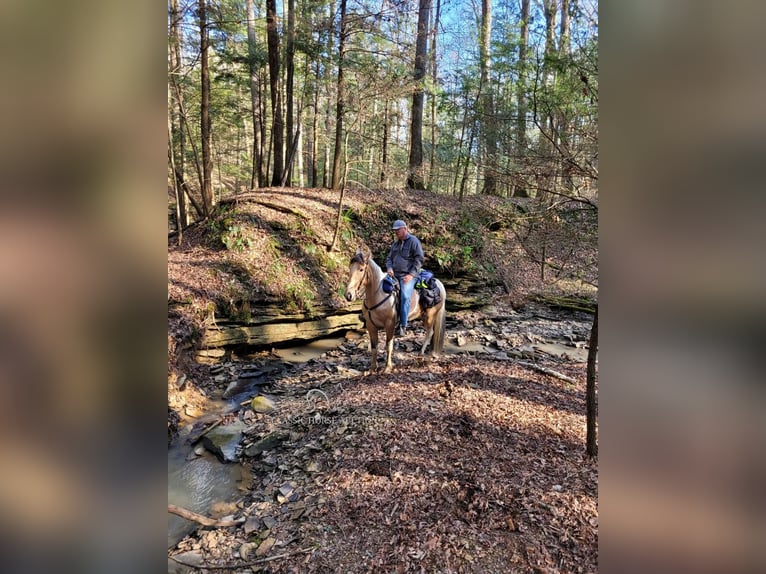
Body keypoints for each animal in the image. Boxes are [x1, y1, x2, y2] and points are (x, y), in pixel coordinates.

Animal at [344, 246, 448, 374]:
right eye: (350, 268)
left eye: (361, 269)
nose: (348, 295)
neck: (378, 294)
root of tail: (440, 284)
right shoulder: (370, 325)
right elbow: (374, 347)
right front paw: (372, 368)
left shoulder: (389, 324)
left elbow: (389, 346)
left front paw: (387, 367)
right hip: (424, 315)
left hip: (430, 316)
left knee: (430, 333)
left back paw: (421, 354)